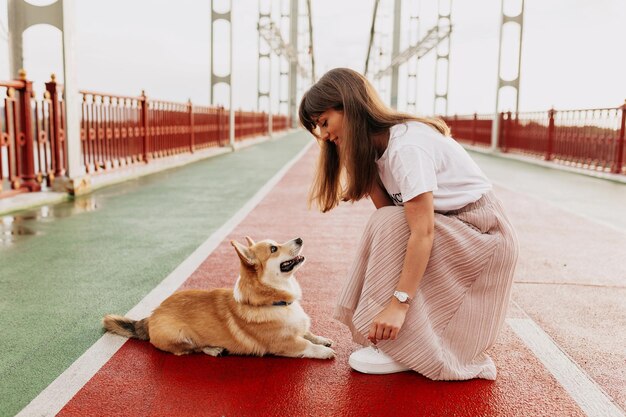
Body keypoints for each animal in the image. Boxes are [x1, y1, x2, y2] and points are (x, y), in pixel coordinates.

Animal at [102, 236, 334, 360]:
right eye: (274, 248)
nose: (300, 238)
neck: (276, 301)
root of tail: (152, 315)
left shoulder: (299, 329)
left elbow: (309, 334)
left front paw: (323, 339)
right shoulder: (285, 344)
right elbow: (307, 345)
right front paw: (324, 351)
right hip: (181, 337)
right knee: (193, 348)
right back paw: (214, 349)